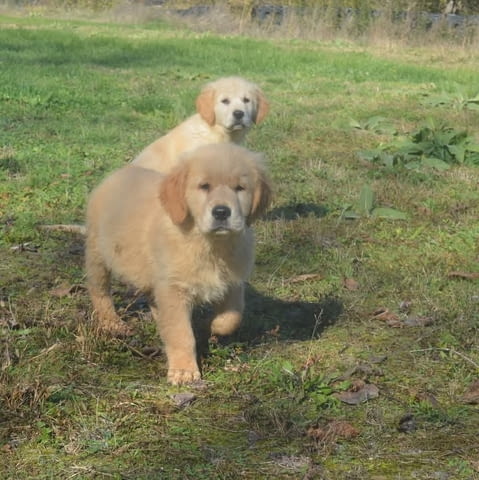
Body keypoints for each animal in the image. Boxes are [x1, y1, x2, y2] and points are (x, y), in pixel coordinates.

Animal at [86, 142, 272, 386]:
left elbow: (232, 316)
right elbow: (181, 333)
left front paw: (213, 326)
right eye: (204, 186)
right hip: (98, 254)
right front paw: (184, 370)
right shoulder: (174, 288)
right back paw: (112, 323)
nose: (222, 212)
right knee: (99, 291)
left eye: (240, 188)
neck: (208, 243)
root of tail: (118, 174)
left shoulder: (233, 281)